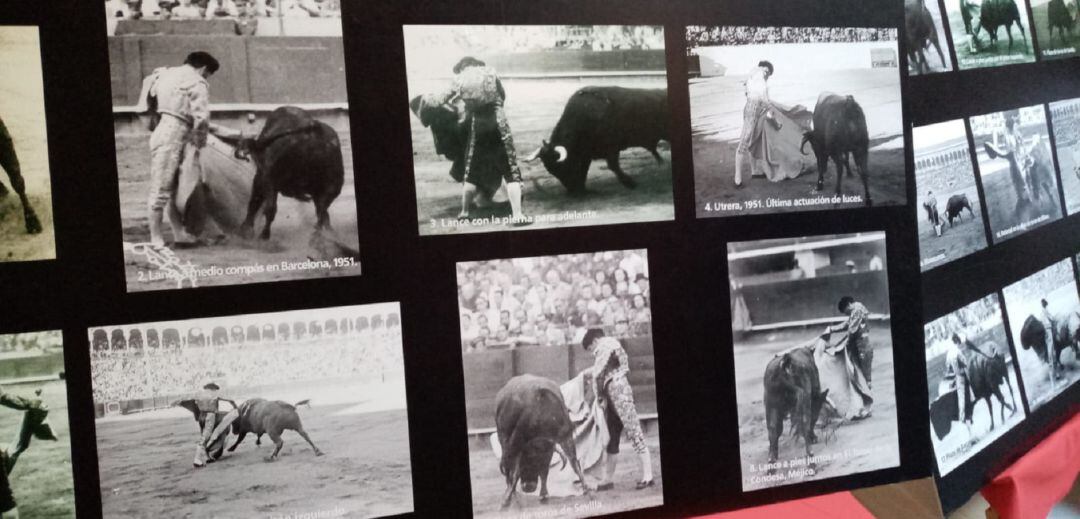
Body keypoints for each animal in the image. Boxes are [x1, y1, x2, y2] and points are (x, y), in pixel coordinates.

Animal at [174, 397, 319, 461]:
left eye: (234, 424)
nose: (233, 431)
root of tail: (288, 406)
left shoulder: (244, 429)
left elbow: (239, 440)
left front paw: (231, 448)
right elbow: (253, 437)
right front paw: (257, 442)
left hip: (272, 431)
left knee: (279, 442)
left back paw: (271, 456)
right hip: (297, 426)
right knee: (306, 435)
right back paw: (318, 451)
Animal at [494, 373, 591, 507]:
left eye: (536, 462)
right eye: (526, 461)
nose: (529, 487)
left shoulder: (560, 439)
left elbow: (567, 464)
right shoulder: (517, 442)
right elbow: (515, 470)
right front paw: (507, 497)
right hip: (503, 438)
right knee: (508, 463)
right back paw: (511, 491)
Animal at [764, 343, 829, 472]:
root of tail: (784, 364)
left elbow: (777, 431)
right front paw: (813, 437)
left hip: (770, 405)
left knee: (772, 429)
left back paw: (771, 465)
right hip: (803, 401)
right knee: (805, 425)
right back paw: (811, 463)